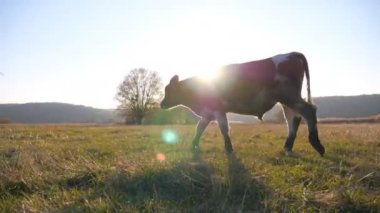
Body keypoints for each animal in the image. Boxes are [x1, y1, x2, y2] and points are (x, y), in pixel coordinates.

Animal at [160, 51, 324, 155]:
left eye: (168, 90)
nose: (161, 104)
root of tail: (292, 53)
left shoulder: (218, 109)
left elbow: (224, 129)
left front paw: (229, 149)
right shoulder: (208, 112)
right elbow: (199, 128)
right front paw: (193, 145)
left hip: (289, 96)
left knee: (309, 111)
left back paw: (317, 145)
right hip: (287, 101)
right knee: (293, 119)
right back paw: (287, 147)